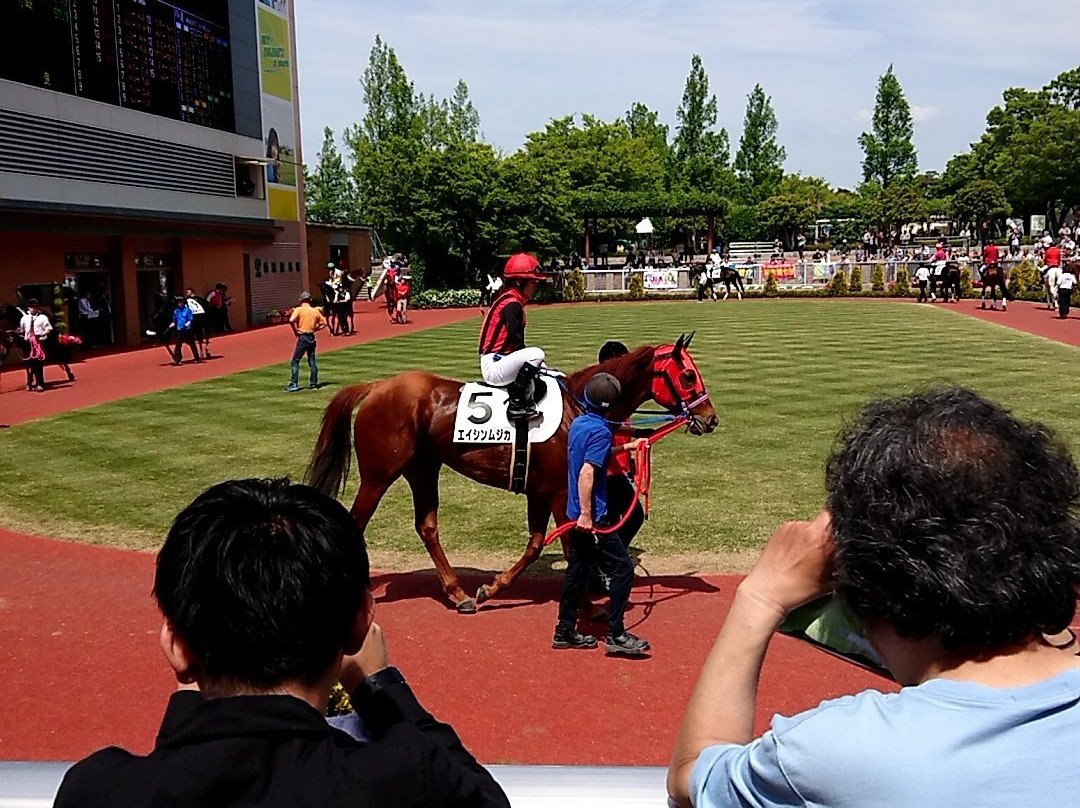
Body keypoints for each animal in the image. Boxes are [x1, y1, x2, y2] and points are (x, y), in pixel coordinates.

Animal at [308, 337, 721, 613]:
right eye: (688, 375)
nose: (710, 418)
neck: (579, 406)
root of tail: (377, 386)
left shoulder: (541, 491)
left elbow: (538, 543)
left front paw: (491, 589)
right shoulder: (560, 492)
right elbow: (572, 546)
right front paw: (586, 605)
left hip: (423, 468)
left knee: (427, 525)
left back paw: (459, 593)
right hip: (378, 476)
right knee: (357, 520)